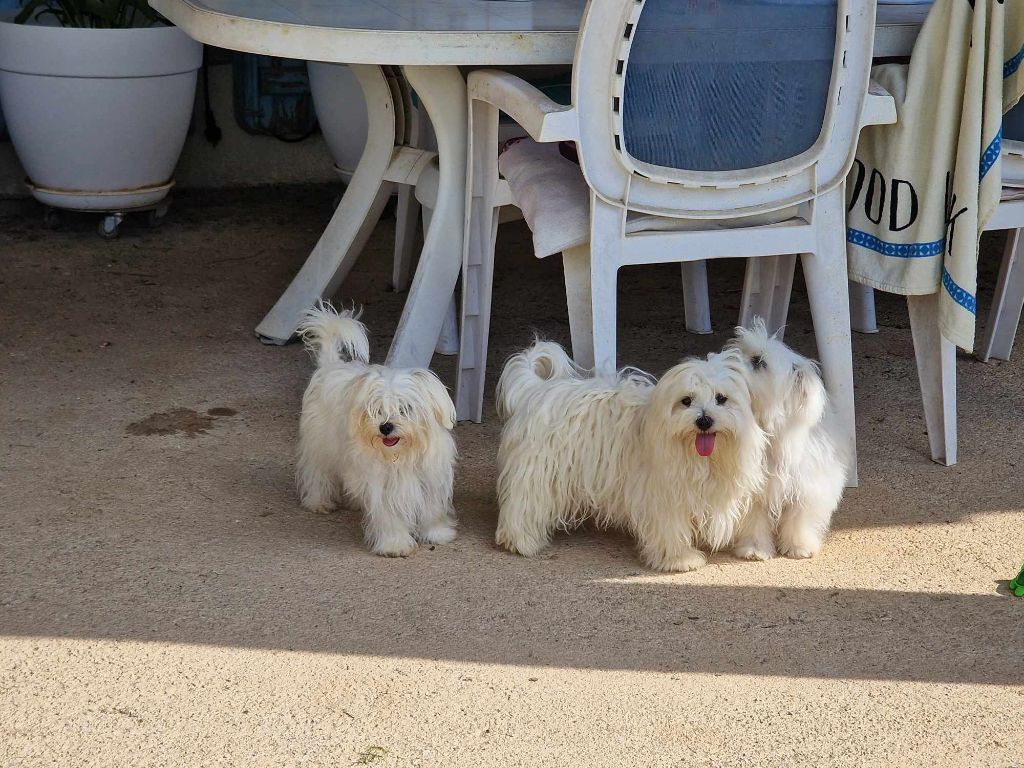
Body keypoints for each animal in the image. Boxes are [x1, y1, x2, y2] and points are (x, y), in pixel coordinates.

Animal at [294, 303, 458, 561]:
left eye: (405, 408)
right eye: (376, 410)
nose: (385, 426)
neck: (403, 455)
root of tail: (330, 366)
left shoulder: (431, 479)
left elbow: (432, 509)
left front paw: (437, 534)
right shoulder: (382, 485)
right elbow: (389, 517)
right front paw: (395, 545)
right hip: (320, 445)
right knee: (317, 472)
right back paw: (319, 501)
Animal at [495, 342, 770, 573]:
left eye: (721, 398)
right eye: (686, 401)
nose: (704, 420)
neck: (701, 458)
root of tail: (536, 389)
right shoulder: (663, 494)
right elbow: (671, 526)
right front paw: (679, 558)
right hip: (538, 472)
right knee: (524, 504)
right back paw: (522, 541)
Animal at [729, 319, 847, 561]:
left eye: (758, 361)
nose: (727, 361)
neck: (771, 434)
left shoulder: (807, 487)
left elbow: (798, 519)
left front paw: (798, 546)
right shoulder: (754, 493)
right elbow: (755, 520)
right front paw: (754, 549)